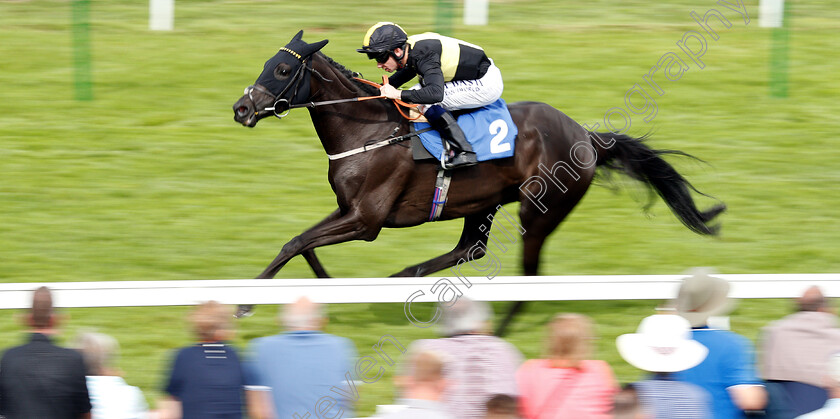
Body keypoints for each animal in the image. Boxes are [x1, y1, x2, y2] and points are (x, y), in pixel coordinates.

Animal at [233, 31, 724, 334]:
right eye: (266, 63)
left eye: (282, 71)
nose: (241, 109)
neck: (368, 130)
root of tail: (587, 136)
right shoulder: (347, 210)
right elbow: (302, 242)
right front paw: (327, 285)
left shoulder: (366, 220)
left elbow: (297, 241)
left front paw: (243, 303)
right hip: (483, 200)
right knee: (470, 249)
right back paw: (405, 278)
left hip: (540, 209)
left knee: (527, 277)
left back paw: (500, 333)